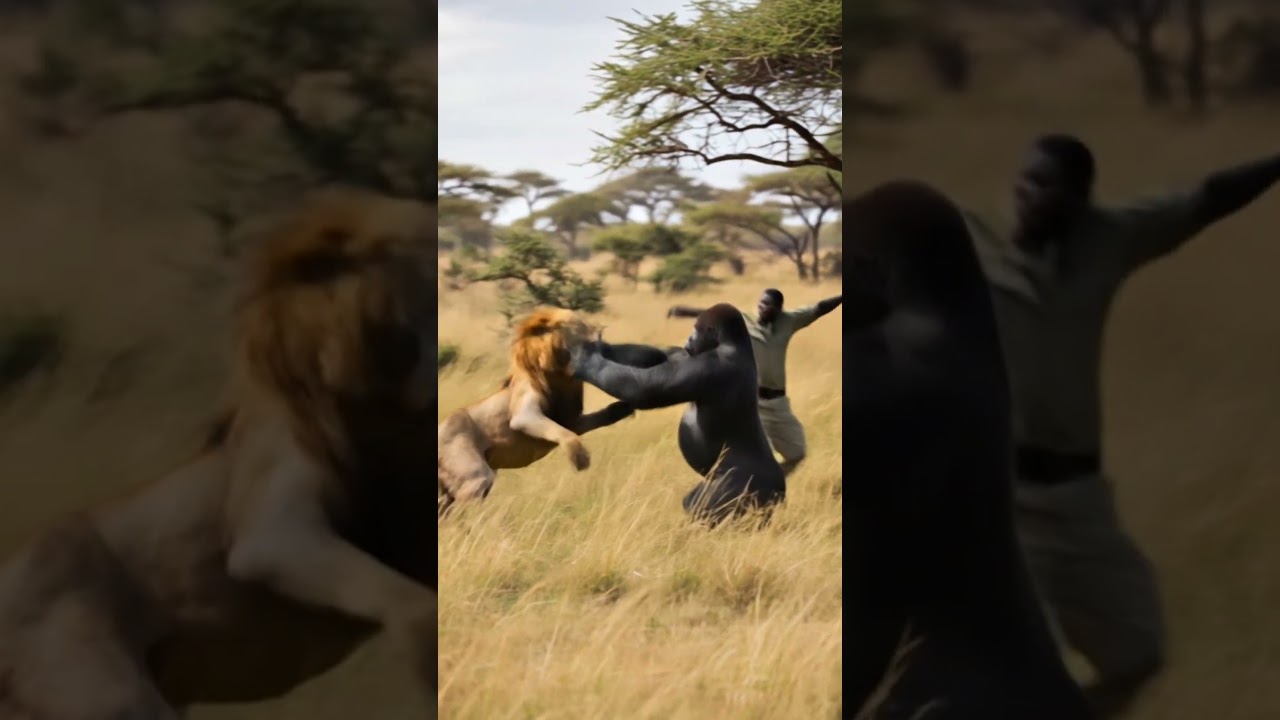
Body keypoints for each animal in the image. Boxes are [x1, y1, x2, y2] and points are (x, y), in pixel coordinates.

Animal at [437, 307, 644, 514]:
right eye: (583, 328)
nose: (602, 334)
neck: (563, 378)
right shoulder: (524, 413)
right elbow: (565, 434)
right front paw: (580, 459)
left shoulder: (572, 420)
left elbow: (596, 419)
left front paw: (623, 407)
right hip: (475, 477)